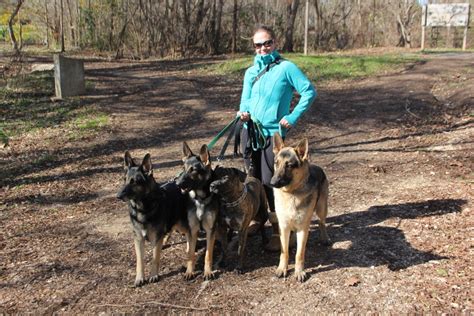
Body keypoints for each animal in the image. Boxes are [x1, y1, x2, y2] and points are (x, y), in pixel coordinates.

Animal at [117, 152, 193, 288]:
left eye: (134, 182)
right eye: (124, 179)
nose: (118, 196)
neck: (143, 209)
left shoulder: (156, 238)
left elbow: (155, 258)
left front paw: (153, 275)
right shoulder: (138, 239)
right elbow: (140, 261)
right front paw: (139, 278)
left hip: (181, 224)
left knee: (189, 234)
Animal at [176, 142, 220, 280]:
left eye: (193, 170)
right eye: (183, 168)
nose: (177, 183)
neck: (200, 199)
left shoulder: (210, 229)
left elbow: (208, 254)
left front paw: (208, 272)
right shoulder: (193, 228)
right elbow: (190, 255)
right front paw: (189, 271)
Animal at [270, 132, 330, 282]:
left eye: (289, 165)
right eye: (276, 163)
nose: (272, 182)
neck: (291, 193)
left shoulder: (303, 228)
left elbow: (299, 253)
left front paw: (299, 271)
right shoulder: (283, 227)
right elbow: (284, 251)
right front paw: (282, 268)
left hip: (322, 208)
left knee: (321, 223)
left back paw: (325, 238)